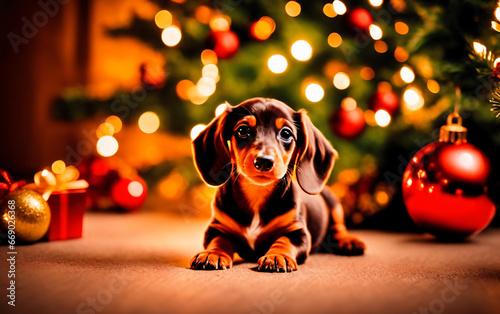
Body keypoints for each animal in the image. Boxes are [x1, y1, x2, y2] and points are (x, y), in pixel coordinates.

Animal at [189, 98, 366, 272]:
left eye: (286, 133)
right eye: (242, 130)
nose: (263, 161)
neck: (257, 192)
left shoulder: (298, 232)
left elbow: (284, 240)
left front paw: (277, 256)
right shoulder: (216, 228)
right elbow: (219, 240)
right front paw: (212, 253)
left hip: (333, 202)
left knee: (338, 228)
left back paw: (349, 242)